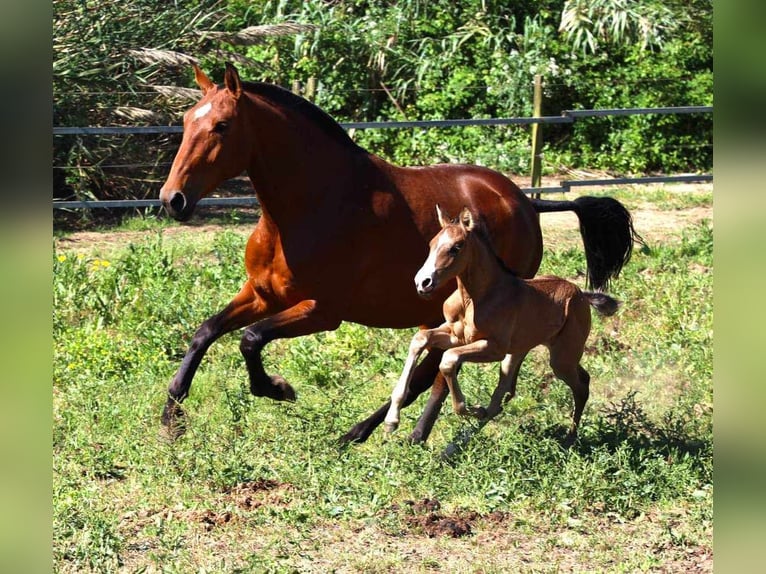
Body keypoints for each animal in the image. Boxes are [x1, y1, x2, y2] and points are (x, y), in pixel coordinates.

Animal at [384, 207, 624, 440]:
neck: (475, 298)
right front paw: (391, 420)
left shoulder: (493, 348)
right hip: (525, 353)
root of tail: (582, 295)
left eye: (456, 247)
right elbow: (420, 339)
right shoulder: (456, 335)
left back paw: (570, 439)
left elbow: (448, 360)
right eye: (432, 244)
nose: (423, 282)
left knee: (581, 386)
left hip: (562, 358)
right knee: (509, 390)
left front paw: (470, 409)